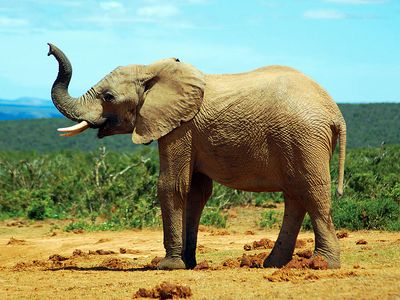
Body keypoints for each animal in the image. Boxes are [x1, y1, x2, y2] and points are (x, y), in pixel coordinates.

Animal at [47, 42, 346, 270]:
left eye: (108, 97)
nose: (48, 48)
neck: (152, 70)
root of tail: (335, 112)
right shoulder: (189, 131)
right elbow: (195, 192)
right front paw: (187, 264)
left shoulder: (180, 127)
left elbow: (171, 186)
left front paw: (167, 266)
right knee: (295, 195)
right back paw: (273, 264)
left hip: (304, 138)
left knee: (311, 191)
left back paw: (322, 264)